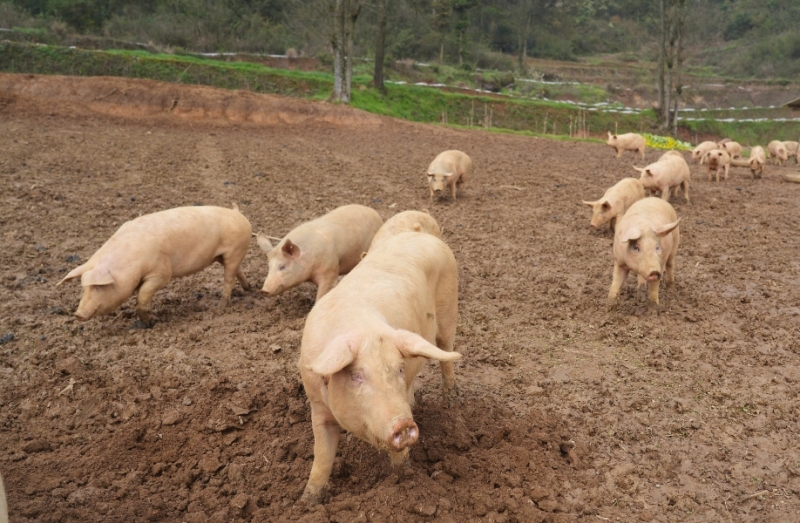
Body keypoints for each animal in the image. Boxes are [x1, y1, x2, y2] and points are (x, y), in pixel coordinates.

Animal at [58, 205, 252, 328]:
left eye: (98, 287)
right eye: (84, 288)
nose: (78, 314)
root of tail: (238, 214)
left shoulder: (161, 273)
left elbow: (143, 295)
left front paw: (149, 323)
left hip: (235, 250)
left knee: (229, 278)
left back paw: (220, 308)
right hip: (223, 256)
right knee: (238, 271)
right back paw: (248, 289)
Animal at [298, 232, 462, 504]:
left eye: (398, 369)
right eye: (356, 376)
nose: (403, 424)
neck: (362, 330)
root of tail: (424, 236)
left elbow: (398, 456)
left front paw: (405, 481)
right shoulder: (317, 406)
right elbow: (321, 457)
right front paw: (306, 502)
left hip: (449, 308)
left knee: (446, 352)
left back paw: (450, 400)